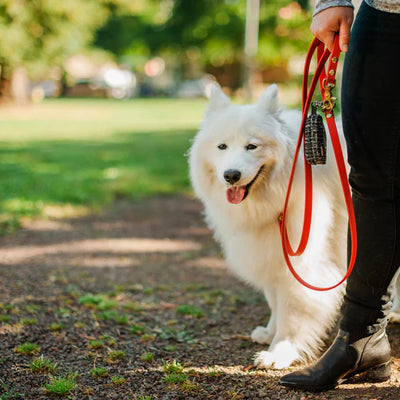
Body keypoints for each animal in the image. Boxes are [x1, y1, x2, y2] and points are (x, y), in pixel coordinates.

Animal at [190, 83, 400, 368]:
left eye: (252, 146)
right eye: (222, 146)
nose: (231, 175)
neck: (279, 194)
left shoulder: (304, 265)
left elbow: (293, 313)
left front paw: (280, 351)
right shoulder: (271, 252)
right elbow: (275, 301)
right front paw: (270, 332)